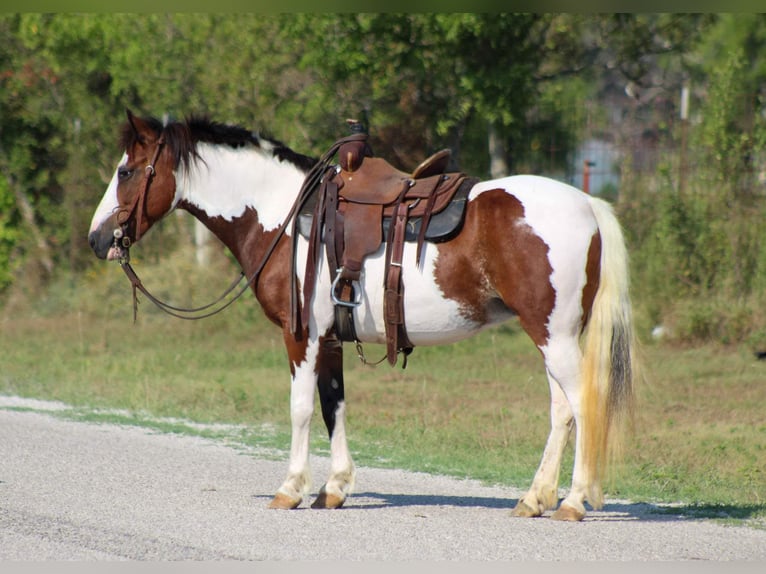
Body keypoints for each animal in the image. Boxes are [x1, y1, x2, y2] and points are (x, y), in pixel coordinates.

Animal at [88, 110, 638, 521]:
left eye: (125, 172)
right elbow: (334, 406)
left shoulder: (302, 337)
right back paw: (534, 498)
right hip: (551, 337)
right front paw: (334, 488)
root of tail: (586, 203)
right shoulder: (331, 338)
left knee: (582, 405)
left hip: (554, 336)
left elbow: (301, 408)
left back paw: (573, 501)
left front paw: (291, 488)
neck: (284, 214)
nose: (96, 240)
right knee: (561, 411)